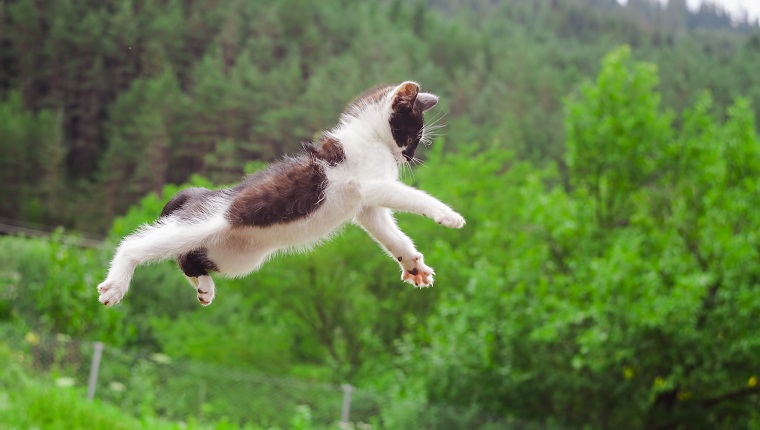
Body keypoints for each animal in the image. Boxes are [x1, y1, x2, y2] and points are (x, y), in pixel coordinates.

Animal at [95, 80, 464, 308]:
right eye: (411, 134)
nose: (409, 156)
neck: (369, 136)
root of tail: (197, 193)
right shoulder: (369, 184)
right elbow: (413, 195)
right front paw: (448, 214)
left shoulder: (365, 208)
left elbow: (390, 234)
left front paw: (413, 263)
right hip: (207, 222)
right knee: (137, 244)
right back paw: (116, 285)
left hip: (236, 257)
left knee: (187, 257)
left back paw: (204, 287)